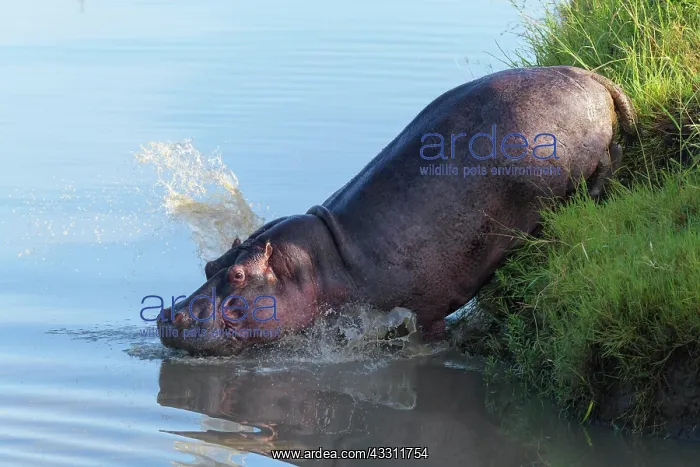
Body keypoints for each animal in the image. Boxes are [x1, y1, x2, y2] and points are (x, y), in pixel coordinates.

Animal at [158, 65, 636, 356]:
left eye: (239, 277)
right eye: (209, 265)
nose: (169, 313)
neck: (315, 265)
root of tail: (591, 76)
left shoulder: (420, 309)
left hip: (579, 162)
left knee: (607, 163)